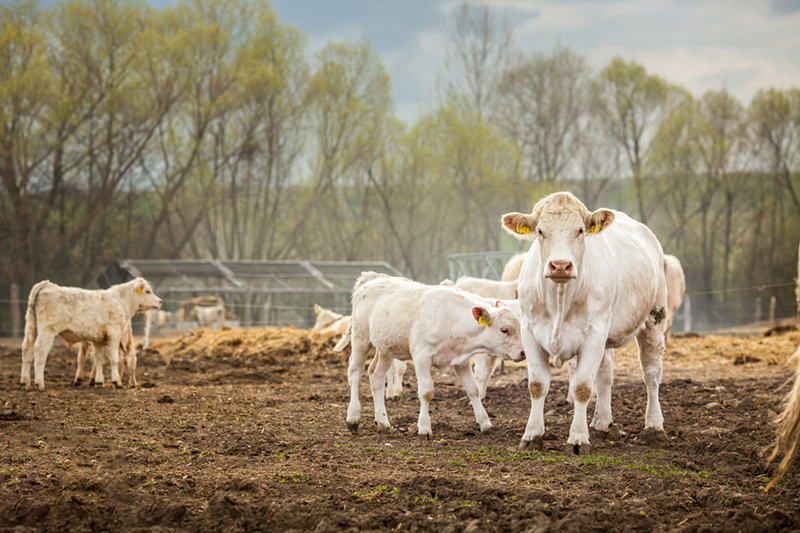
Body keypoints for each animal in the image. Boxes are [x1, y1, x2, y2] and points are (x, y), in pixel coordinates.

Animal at [332, 270, 524, 436]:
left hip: (386, 347)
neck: (451, 319)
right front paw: (424, 428)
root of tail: (371, 277)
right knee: (355, 371)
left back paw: (383, 422)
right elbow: (426, 391)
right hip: (361, 339)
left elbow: (473, 389)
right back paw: (353, 417)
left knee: (376, 376)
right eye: (504, 329)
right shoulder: (422, 357)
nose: (523, 352)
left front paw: (484, 423)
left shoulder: (462, 362)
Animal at [500, 191, 668, 454]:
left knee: (651, 372)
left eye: (580, 230)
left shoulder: (593, 334)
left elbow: (581, 387)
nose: (560, 265)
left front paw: (578, 439)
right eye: (540, 231)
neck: (560, 297)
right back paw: (601, 421)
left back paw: (653, 425)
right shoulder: (530, 332)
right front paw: (532, 435)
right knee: (605, 374)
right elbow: (537, 385)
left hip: (655, 317)